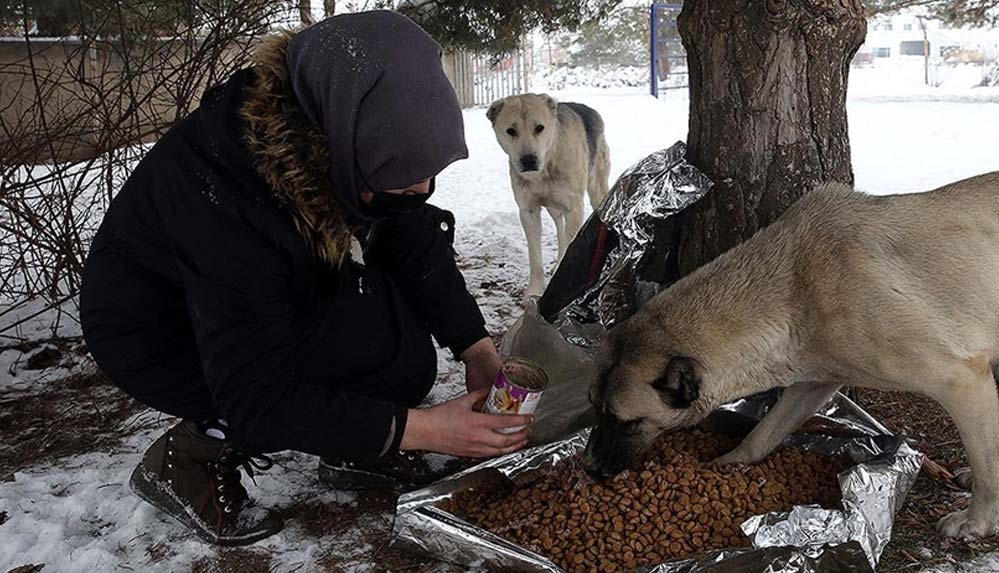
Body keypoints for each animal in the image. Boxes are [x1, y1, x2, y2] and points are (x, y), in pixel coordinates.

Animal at [486, 92, 608, 300]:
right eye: (511, 131)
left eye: (540, 128)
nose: (528, 160)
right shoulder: (528, 211)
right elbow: (535, 256)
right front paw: (535, 290)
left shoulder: (574, 208)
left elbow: (570, 245)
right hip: (553, 208)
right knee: (560, 231)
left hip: (597, 191)